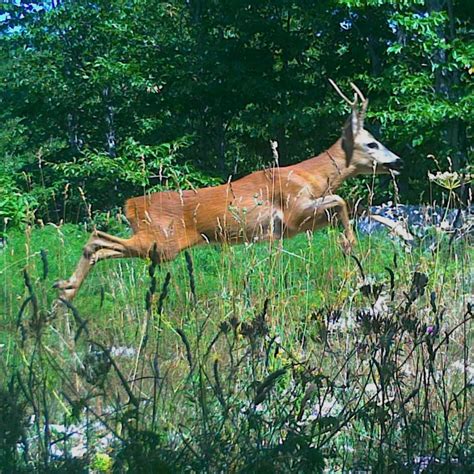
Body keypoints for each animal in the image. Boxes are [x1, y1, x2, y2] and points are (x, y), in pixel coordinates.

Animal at [57, 80, 402, 300]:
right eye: (372, 143)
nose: (398, 160)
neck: (313, 175)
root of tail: (131, 204)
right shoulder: (292, 211)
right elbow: (343, 200)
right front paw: (349, 244)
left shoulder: (297, 224)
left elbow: (357, 206)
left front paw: (400, 232)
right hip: (162, 243)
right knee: (97, 238)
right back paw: (66, 288)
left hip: (157, 245)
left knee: (100, 245)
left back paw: (66, 291)